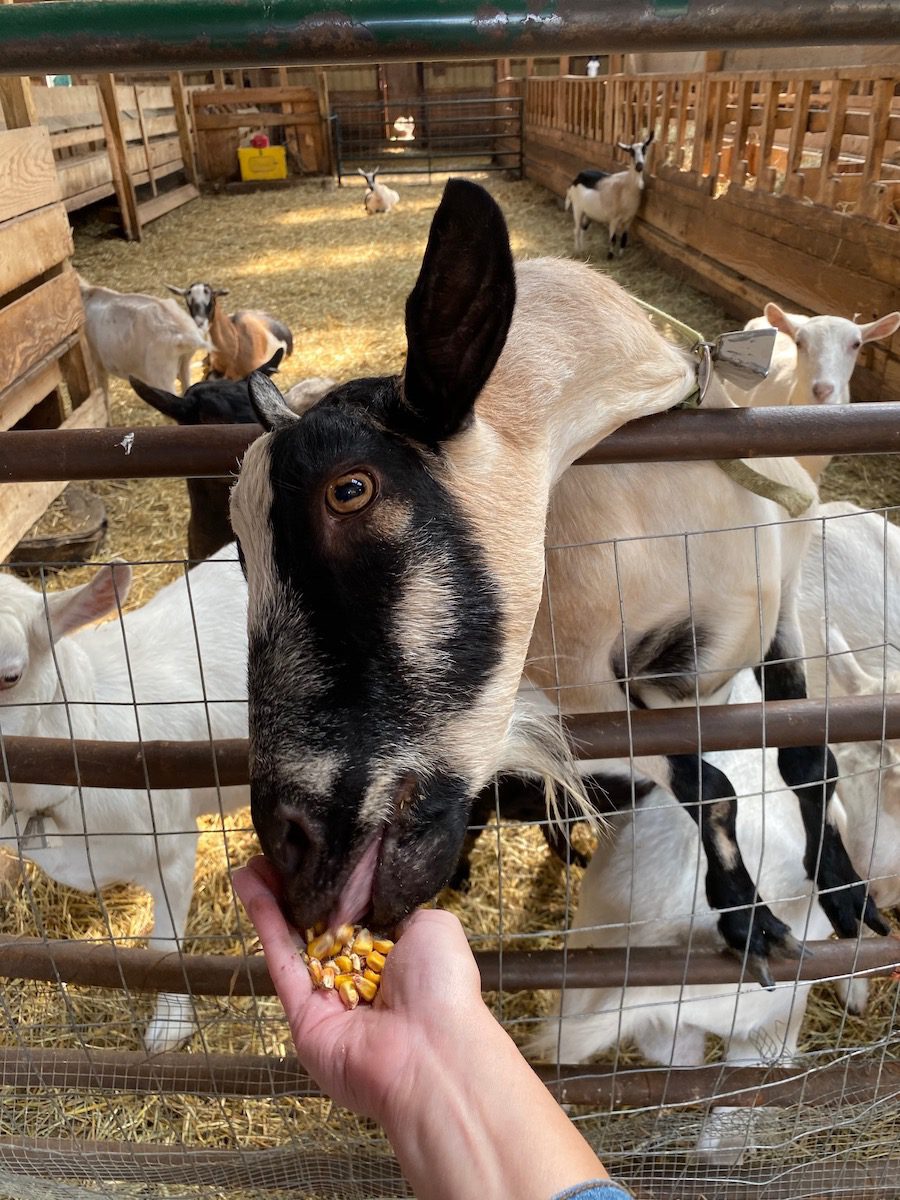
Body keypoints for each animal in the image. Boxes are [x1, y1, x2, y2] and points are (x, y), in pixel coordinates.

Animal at [229, 177, 883, 979]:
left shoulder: (781, 606)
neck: (680, 500)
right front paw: (750, 923)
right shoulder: (585, 677)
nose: (290, 850)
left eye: (349, 490)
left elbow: (808, 758)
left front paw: (847, 898)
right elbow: (712, 788)